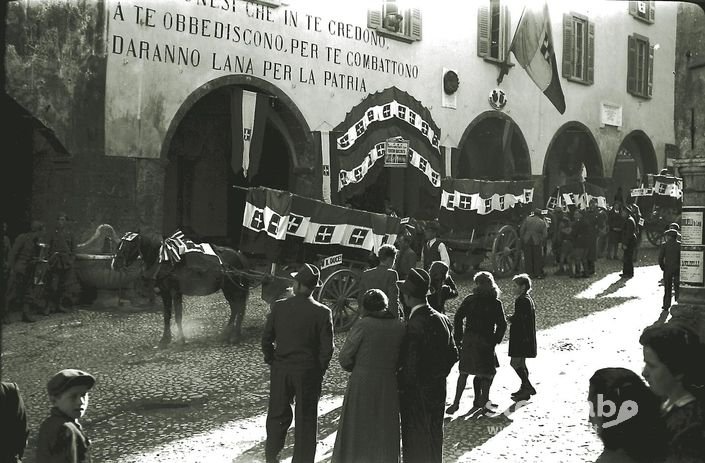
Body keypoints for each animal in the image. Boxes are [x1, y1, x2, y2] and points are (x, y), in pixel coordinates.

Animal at [110, 232, 250, 348]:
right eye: (119, 245)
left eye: (129, 246)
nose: (114, 263)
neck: (165, 260)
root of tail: (238, 255)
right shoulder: (165, 292)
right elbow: (167, 315)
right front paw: (165, 340)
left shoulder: (175, 292)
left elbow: (178, 316)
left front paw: (181, 339)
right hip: (228, 289)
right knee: (235, 308)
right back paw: (226, 332)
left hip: (234, 288)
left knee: (240, 307)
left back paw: (235, 335)